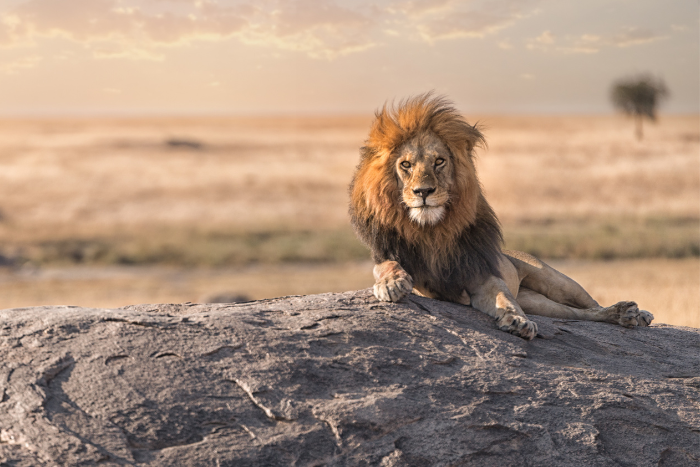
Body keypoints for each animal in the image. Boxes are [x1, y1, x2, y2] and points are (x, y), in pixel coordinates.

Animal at [350, 95, 656, 342]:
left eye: (439, 161)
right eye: (406, 165)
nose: (423, 192)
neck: (432, 230)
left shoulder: (482, 274)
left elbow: (503, 299)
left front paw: (517, 321)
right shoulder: (407, 270)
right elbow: (386, 266)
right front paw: (392, 283)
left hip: (556, 281)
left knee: (590, 305)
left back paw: (632, 313)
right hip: (539, 303)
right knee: (575, 314)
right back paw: (626, 315)